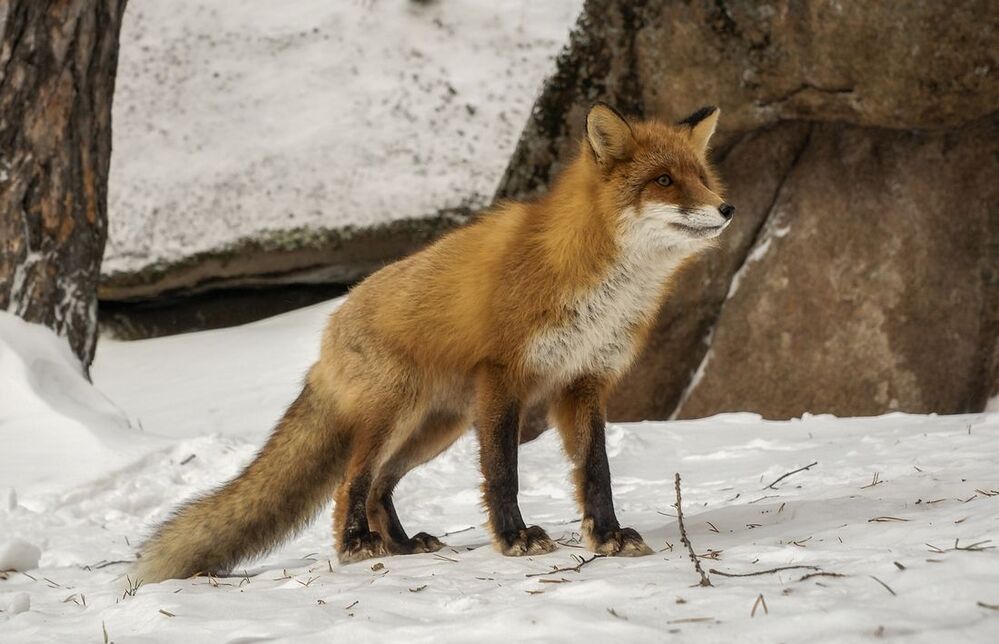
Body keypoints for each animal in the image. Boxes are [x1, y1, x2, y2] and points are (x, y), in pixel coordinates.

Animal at [133, 103, 734, 583]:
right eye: (663, 180)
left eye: (702, 177)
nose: (727, 210)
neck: (593, 277)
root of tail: (327, 334)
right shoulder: (503, 377)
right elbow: (503, 473)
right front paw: (514, 539)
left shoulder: (583, 382)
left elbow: (596, 472)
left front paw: (608, 536)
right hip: (394, 415)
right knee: (350, 483)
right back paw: (356, 546)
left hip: (436, 428)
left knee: (379, 487)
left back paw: (401, 545)